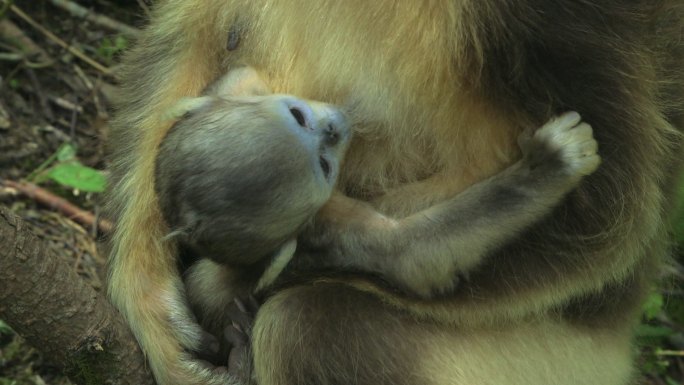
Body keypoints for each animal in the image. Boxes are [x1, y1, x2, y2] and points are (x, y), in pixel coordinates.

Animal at [107, 0, 684, 384]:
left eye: (306, 123)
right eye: (317, 155)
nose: (334, 126)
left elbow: (608, 220)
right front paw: (156, 305)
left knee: (305, 328)